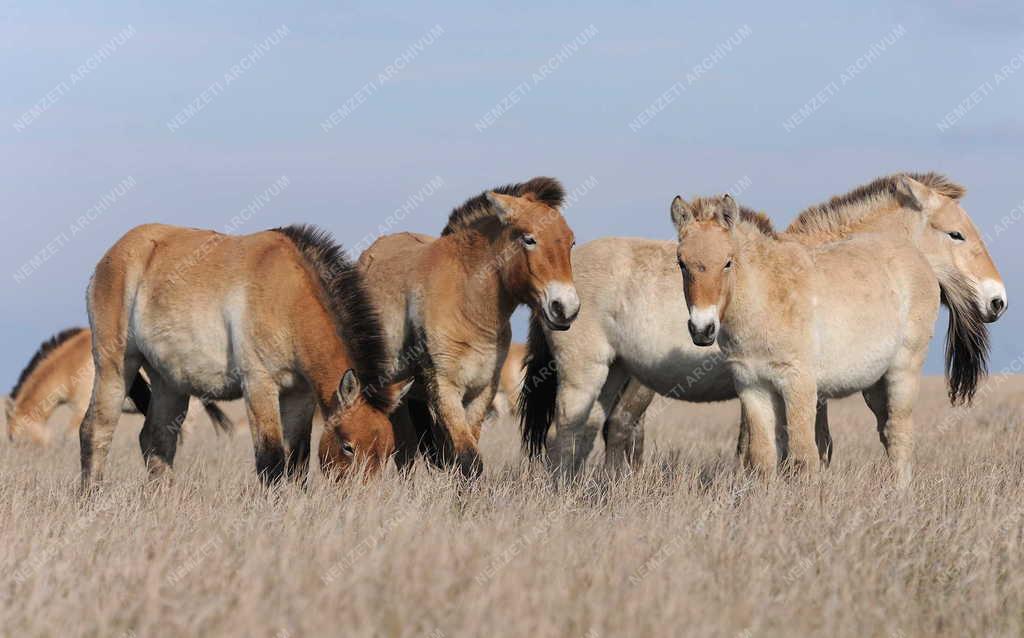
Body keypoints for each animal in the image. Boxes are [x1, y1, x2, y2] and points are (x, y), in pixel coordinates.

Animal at [81, 219, 401, 489]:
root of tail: (110, 256)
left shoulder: (300, 395)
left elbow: (297, 461)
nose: (360, 499)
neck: (288, 297)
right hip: (116, 366)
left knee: (156, 440)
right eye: (348, 446)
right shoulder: (259, 385)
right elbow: (271, 461)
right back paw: (91, 497)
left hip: (168, 381)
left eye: (388, 451)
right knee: (95, 430)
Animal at [319, 177, 577, 477]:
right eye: (529, 239)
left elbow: (461, 452)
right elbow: (468, 459)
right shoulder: (445, 388)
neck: (468, 302)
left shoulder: (482, 391)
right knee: (406, 454)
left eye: (571, 242)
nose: (566, 307)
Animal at [675, 178, 1003, 483]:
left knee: (899, 433)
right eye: (681, 263)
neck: (767, 294)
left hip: (902, 370)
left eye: (728, 262)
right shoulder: (752, 387)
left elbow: (805, 455)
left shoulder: (800, 386)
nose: (702, 328)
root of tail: (912, 255)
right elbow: (763, 458)